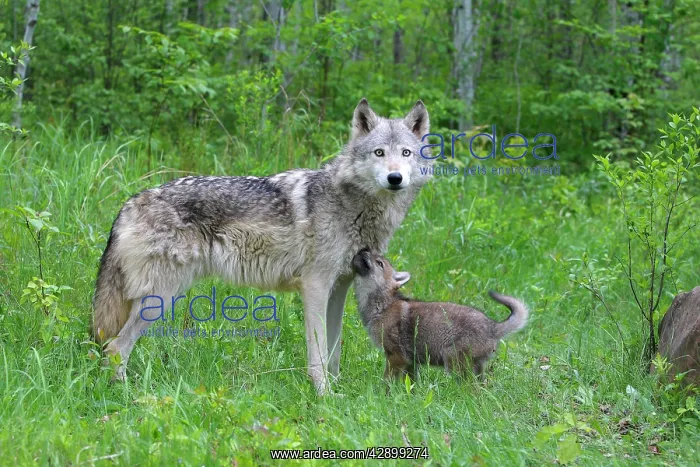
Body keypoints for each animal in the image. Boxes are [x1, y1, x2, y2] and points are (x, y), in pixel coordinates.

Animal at [92, 99, 433, 393]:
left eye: (405, 153)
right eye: (379, 152)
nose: (395, 178)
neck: (354, 205)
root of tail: (130, 202)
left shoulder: (339, 288)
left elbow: (333, 351)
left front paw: (338, 391)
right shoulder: (315, 286)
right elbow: (318, 353)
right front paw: (323, 395)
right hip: (161, 298)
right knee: (115, 347)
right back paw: (125, 396)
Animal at [351, 249, 528, 381]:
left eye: (379, 263)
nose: (362, 249)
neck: (383, 306)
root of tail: (493, 327)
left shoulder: (396, 357)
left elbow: (386, 383)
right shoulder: (411, 362)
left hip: (454, 364)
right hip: (475, 369)